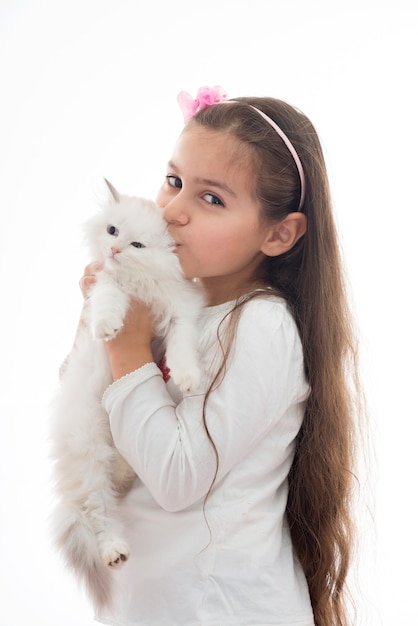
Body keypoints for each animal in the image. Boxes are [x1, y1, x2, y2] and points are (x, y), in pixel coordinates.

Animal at [49, 179, 205, 608]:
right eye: (112, 231)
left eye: (137, 245)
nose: (115, 250)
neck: (143, 281)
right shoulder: (107, 284)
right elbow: (108, 301)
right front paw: (106, 327)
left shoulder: (181, 311)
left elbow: (182, 349)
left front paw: (189, 378)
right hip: (90, 456)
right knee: (95, 513)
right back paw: (113, 551)